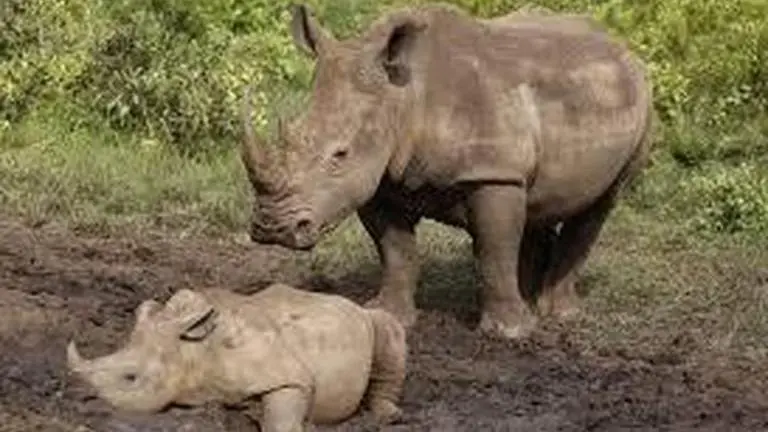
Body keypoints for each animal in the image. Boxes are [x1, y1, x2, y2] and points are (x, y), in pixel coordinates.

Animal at [66, 284, 407, 431]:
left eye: (131, 378)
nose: (83, 399)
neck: (193, 351)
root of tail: (349, 301)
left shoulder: (285, 370)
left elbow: (284, 411)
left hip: (368, 318)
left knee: (388, 326)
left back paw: (387, 416)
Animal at [240, 3, 654, 340]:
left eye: (340, 154)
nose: (271, 228)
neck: (402, 97)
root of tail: (624, 47)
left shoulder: (491, 170)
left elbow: (493, 249)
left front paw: (508, 333)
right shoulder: (378, 178)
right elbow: (396, 251)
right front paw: (388, 316)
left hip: (641, 106)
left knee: (601, 203)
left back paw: (557, 314)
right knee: (539, 201)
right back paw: (527, 301)